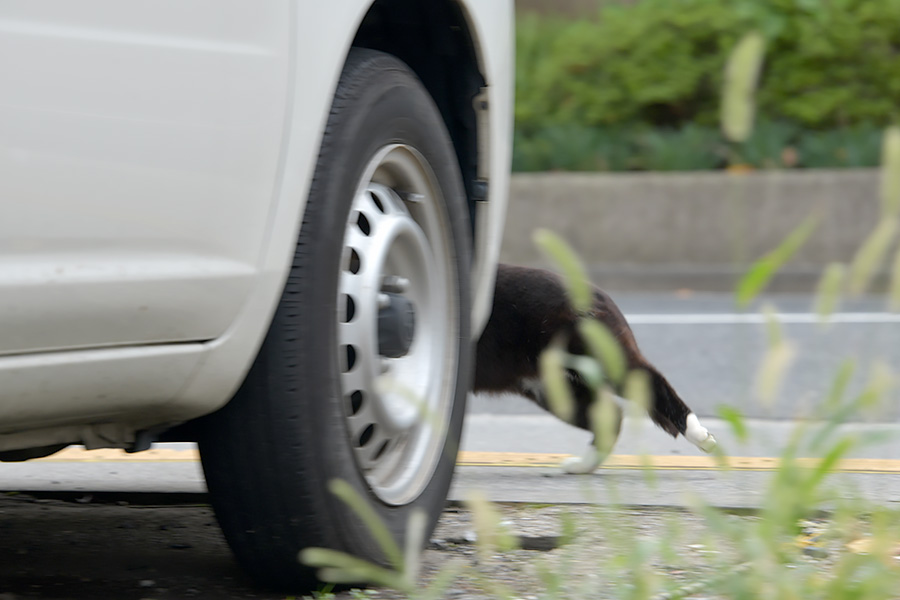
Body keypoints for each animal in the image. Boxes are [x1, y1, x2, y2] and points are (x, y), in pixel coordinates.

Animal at [472, 264, 716, 476]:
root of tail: (597, 293)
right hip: (554, 388)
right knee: (610, 417)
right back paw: (582, 466)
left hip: (602, 360)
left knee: (651, 382)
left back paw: (699, 435)